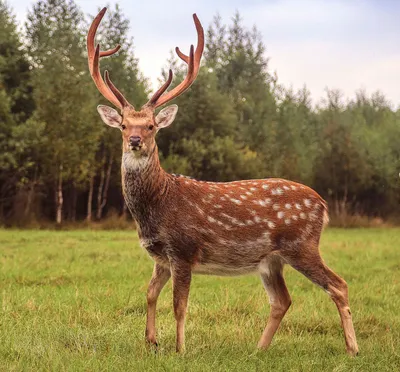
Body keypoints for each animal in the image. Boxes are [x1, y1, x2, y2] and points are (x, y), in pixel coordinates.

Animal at [86, 7, 360, 356]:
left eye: (151, 126)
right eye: (122, 125)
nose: (135, 140)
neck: (157, 205)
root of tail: (323, 205)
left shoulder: (184, 249)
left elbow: (179, 305)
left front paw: (180, 349)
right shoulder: (160, 256)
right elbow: (149, 294)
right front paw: (151, 341)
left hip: (302, 244)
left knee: (338, 285)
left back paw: (352, 348)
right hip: (271, 260)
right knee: (282, 300)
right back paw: (258, 349)